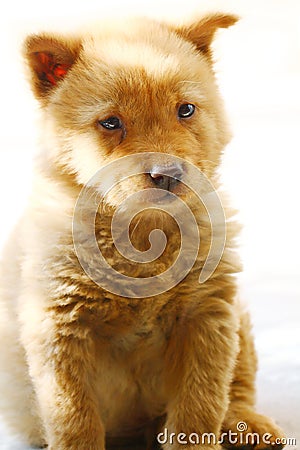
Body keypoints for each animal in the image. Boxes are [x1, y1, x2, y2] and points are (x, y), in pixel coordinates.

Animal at [0, 14, 284, 450]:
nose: (166, 174)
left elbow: (199, 406)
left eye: (186, 110)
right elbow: (75, 418)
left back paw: (250, 426)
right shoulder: (59, 326)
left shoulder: (207, 314)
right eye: (111, 122)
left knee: (238, 388)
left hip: (238, 319)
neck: (143, 234)